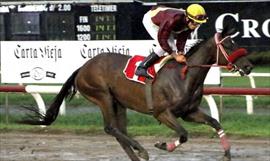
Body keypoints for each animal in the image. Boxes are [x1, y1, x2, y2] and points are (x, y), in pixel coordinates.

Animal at [20, 28, 253, 161]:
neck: (184, 75)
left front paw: (227, 153)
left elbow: (215, 122)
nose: (249, 66)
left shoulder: (189, 112)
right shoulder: (162, 113)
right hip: (102, 95)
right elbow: (184, 134)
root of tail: (82, 68)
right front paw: (162, 145)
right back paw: (141, 149)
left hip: (118, 102)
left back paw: (136, 152)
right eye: (229, 44)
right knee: (110, 128)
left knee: (119, 131)